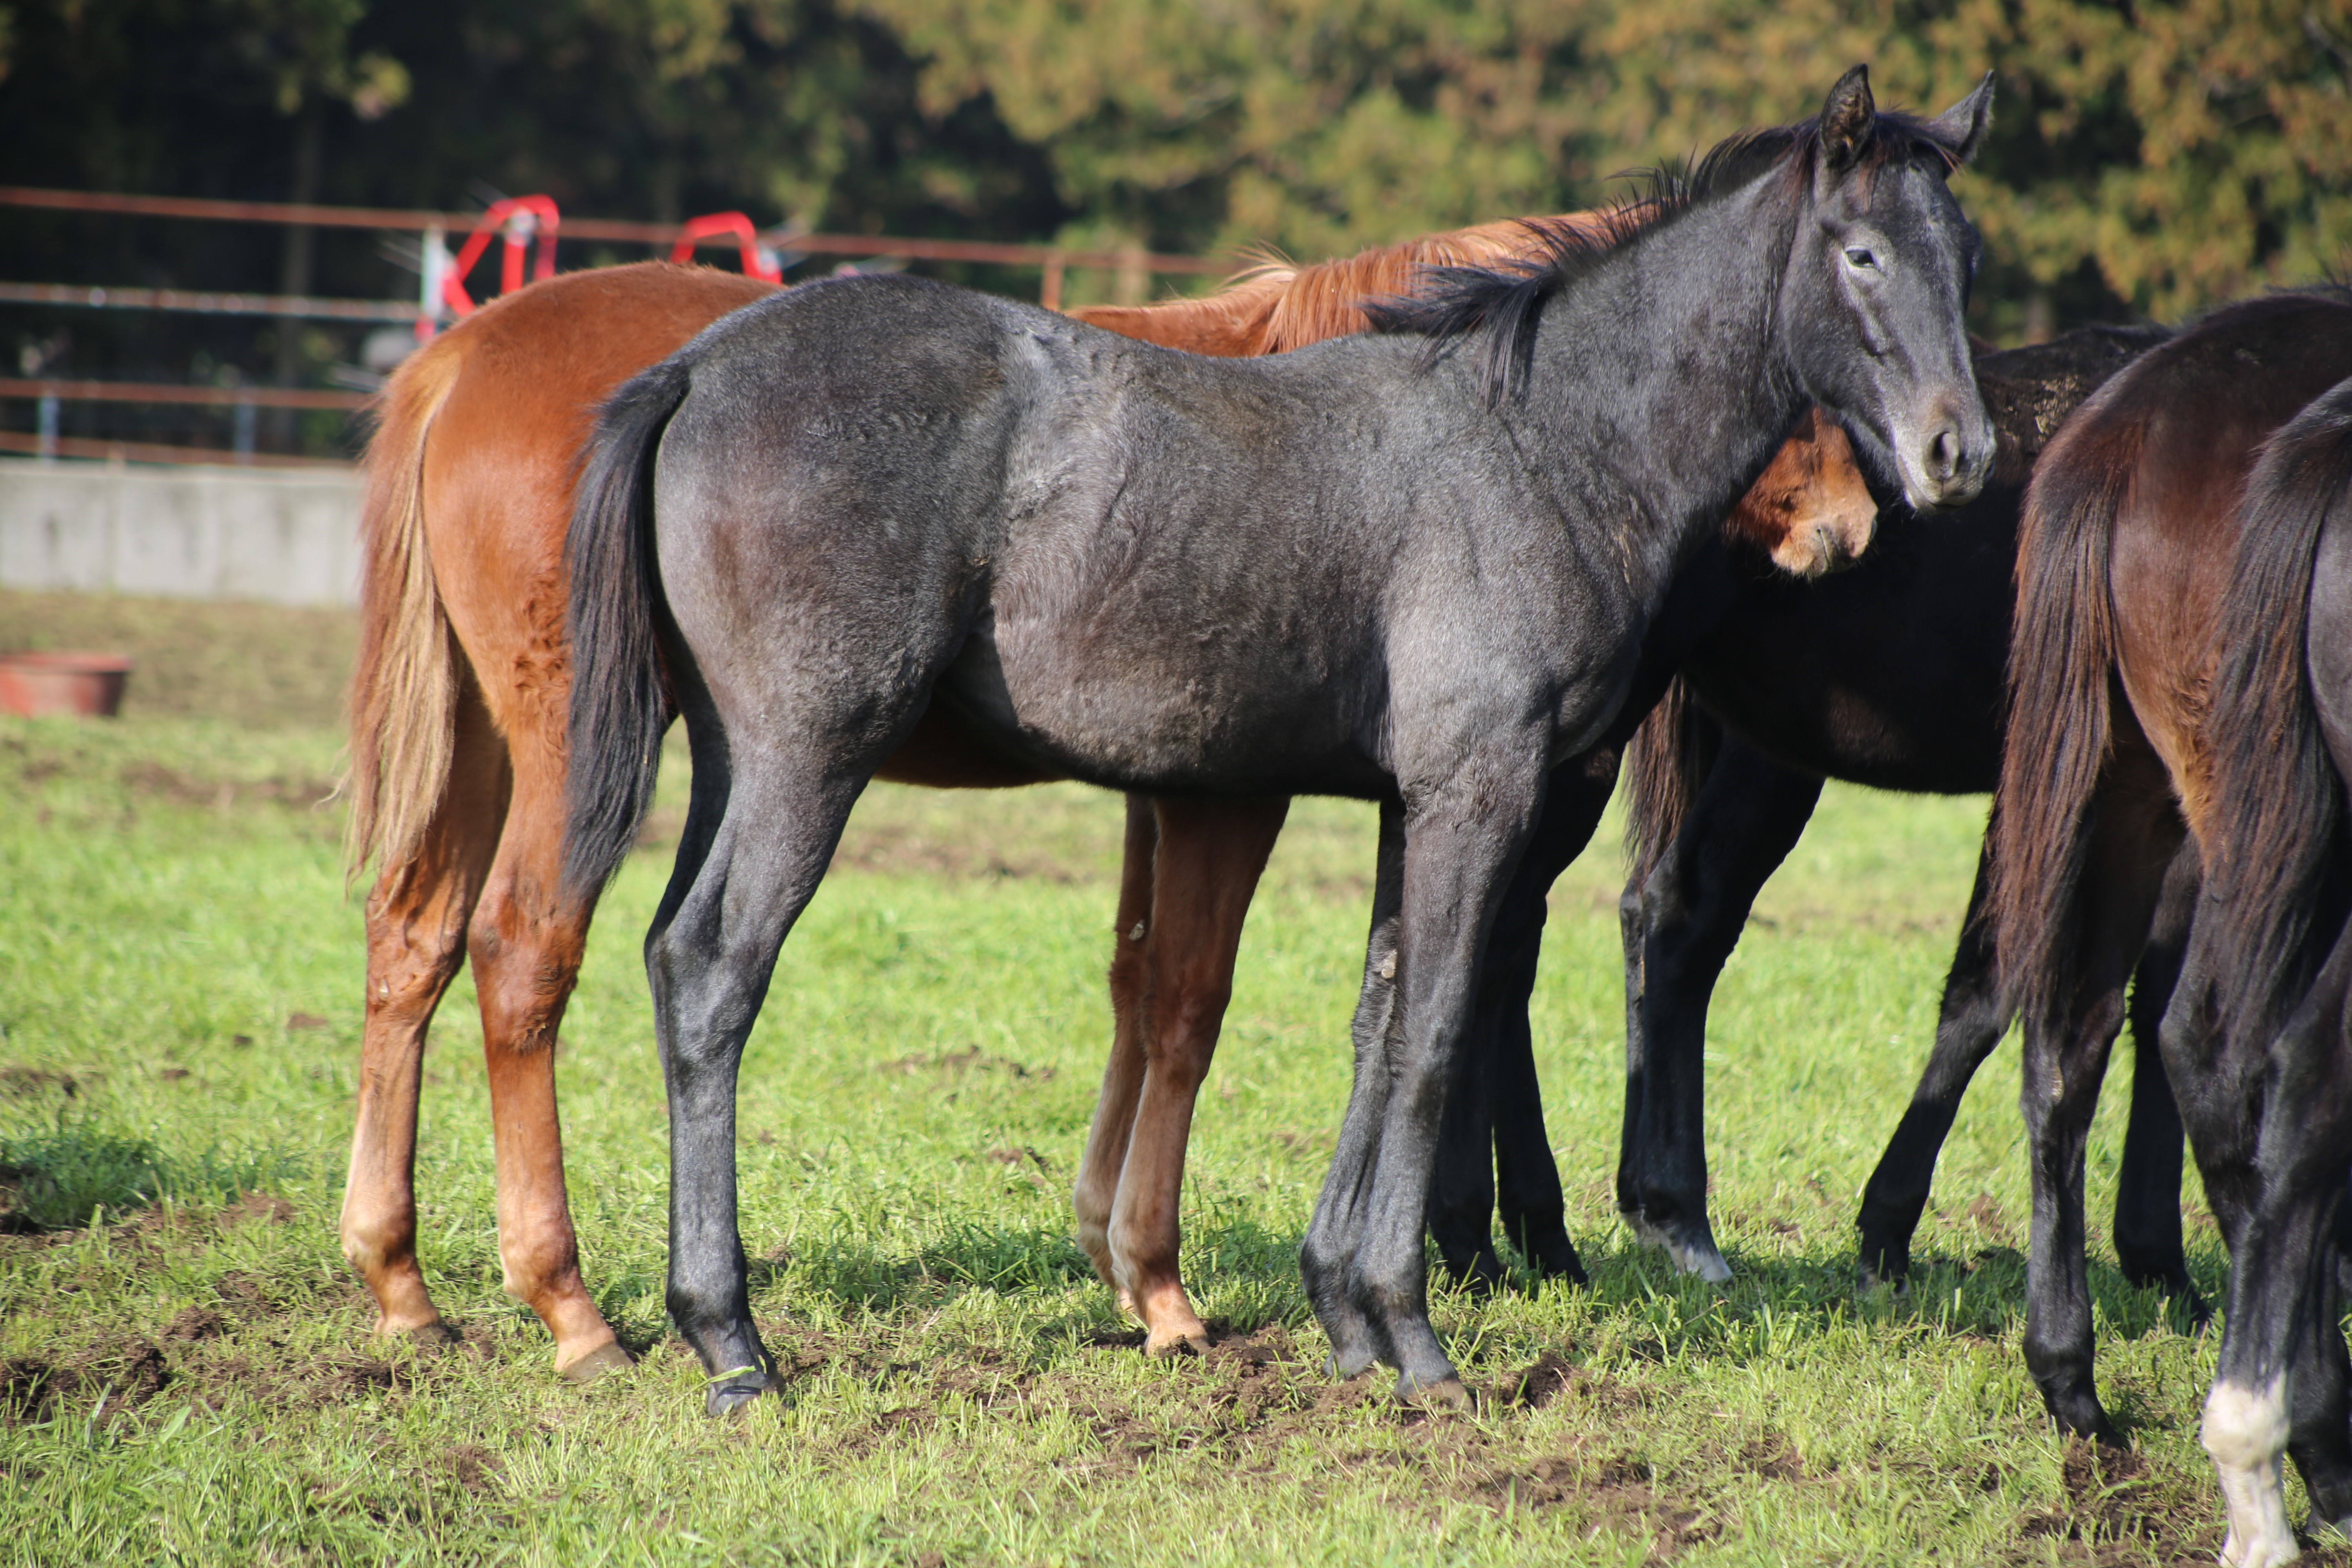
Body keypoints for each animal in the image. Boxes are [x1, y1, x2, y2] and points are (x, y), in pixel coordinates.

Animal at [341, 236, 1862, 1373]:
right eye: (1803, 377)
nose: (1853, 521)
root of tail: (465, 356)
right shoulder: (1242, 797)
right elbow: (1196, 999)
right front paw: (1169, 1286)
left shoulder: (1183, 786)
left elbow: (1149, 987)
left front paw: (1132, 1265)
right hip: (588, 748)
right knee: (531, 952)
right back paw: (579, 1308)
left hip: (491, 747)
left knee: (415, 942)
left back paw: (404, 1281)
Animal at [559, 67, 1994, 1420]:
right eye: (1862, 253)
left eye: (1966, 256)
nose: (1954, 455)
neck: (1537, 443)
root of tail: (700, 367)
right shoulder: (1480, 792)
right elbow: (1438, 1034)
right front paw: (1417, 1341)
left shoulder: (1410, 802)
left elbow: (1380, 1019)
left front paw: (1349, 1322)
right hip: (810, 758)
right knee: (714, 971)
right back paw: (730, 1342)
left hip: (735, 761)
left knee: (666, 952)